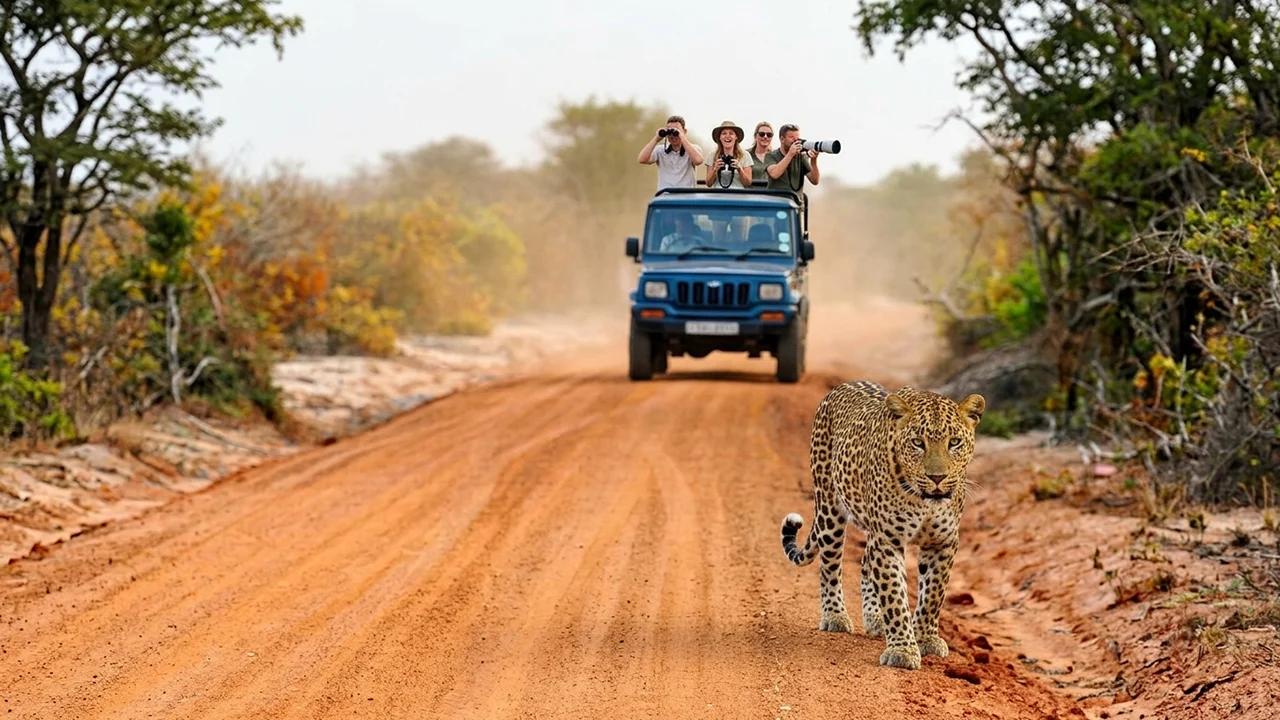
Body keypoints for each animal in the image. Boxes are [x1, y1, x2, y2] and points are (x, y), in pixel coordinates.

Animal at [779, 379, 985, 670]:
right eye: (917, 443)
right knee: (830, 566)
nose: (937, 478)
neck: (924, 501)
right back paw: (835, 616)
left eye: (954, 442)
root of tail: (841, 387)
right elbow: (894, 595)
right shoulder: (888, 540)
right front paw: (903, 649)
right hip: (830, 509)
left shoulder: (943, 542)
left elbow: (933, 594)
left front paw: (925, 639)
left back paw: (875, 619)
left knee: (865, 561)